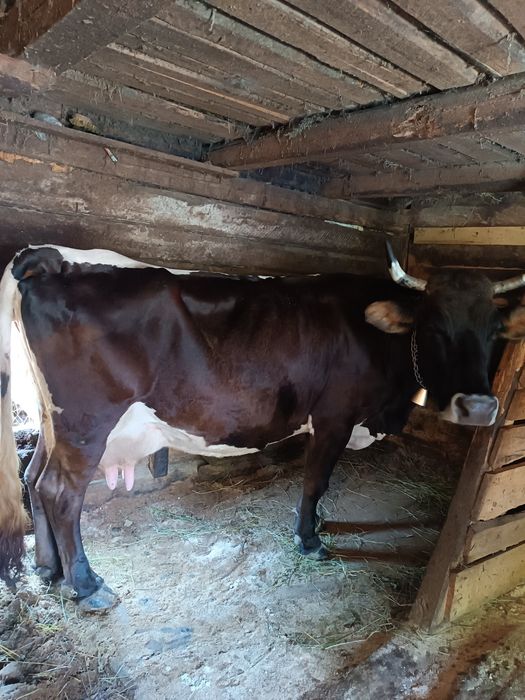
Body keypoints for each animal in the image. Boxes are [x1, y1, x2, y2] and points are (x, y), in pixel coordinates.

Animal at [1, 243, 524, 612]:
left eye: (496, 331)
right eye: (433, 327)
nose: (479, 407)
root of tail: (49, 259)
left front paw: (319, 524)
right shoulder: (334, 417)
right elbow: (316, 480)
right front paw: (309, 539)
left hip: (52, 419)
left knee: (33, 478)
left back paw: (49, 570)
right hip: (87, 423)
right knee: (60, 493)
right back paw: (88, 586)